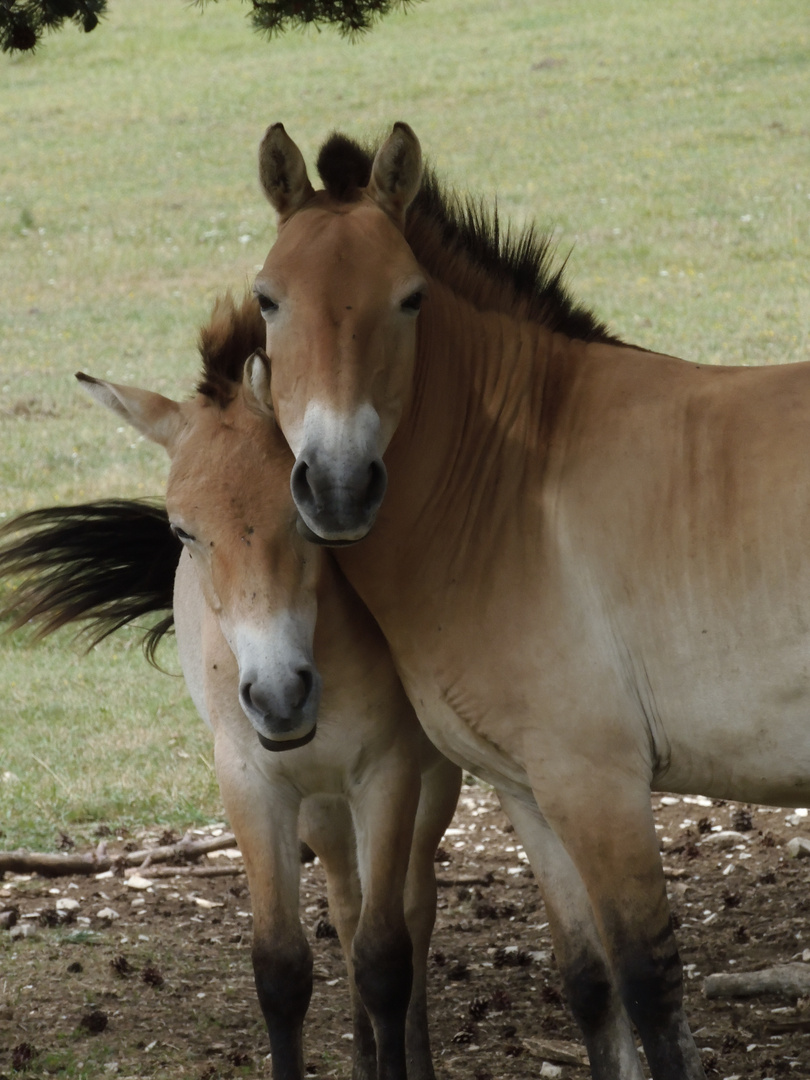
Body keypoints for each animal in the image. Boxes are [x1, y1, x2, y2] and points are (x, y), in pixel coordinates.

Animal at [0, 295, 460, 1080]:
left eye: (300, 514)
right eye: (183, 532)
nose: (278, 696)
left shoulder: (388, 774)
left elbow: (384, 958)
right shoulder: (253, 782)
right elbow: (283, 967)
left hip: (430, 785)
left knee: (412, 907)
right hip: (322, 807)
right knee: (346, 904)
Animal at [250, 120, 810, 1080]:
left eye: (409, 300)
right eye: (268, 300)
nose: (338, 487)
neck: (513, 485)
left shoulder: (599, 786)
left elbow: (651, 990)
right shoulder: (529, 791)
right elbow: (591, 985)